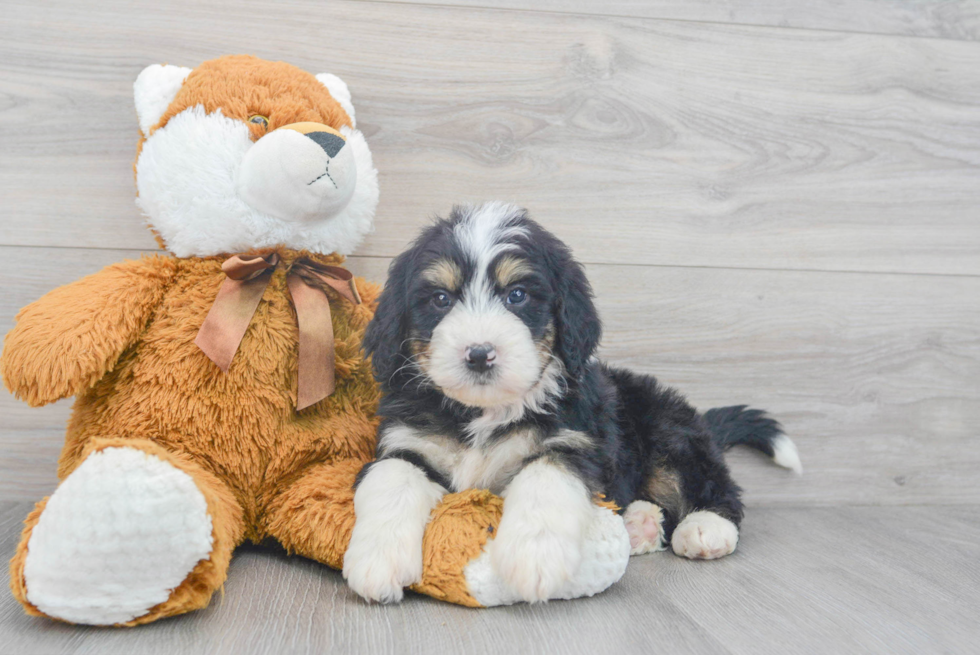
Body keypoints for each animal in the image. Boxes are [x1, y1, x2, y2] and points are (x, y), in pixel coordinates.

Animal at [340, 201, 800, 604]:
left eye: (518, 295)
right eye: (440, 299)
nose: (479, 354)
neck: (484, 412)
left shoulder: (576, 441)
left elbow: (544, 479)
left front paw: (533, 557)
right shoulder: (407, 442)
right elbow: (392, 479)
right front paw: (376, 561)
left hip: (669, 429)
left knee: (713, 484)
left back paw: (706, 528)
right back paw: (640, 525)